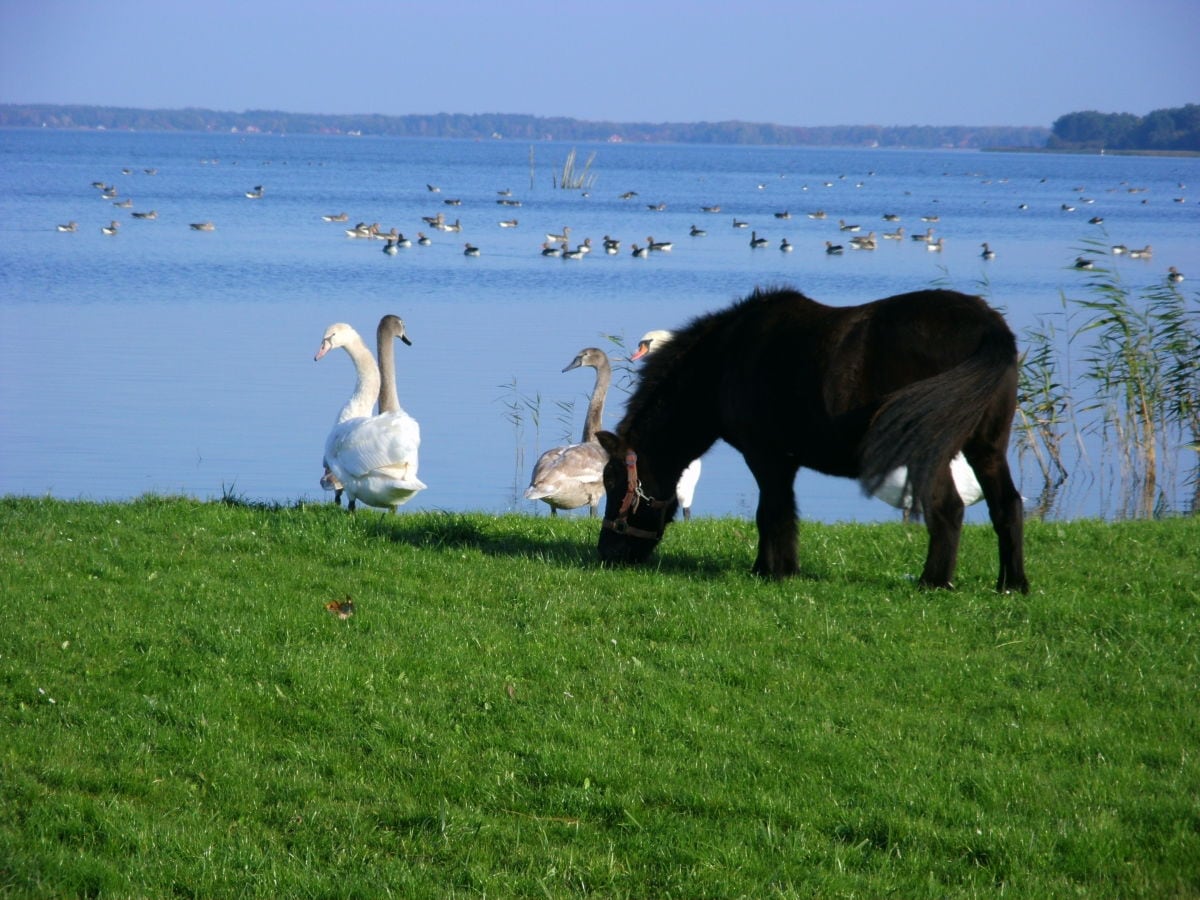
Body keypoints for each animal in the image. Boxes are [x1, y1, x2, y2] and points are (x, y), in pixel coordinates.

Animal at [600, 282, 1032, 592]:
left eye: (614, 482)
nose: (605, 554)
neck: (723, 360)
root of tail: (990, 328)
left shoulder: (766, 457)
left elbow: (770, 514)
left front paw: (770, 571)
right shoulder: (784, 462)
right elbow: (783, 513)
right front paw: (781, 568)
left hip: (932, 450)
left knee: (948, 509)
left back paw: (934, 582)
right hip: (987, 447)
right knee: (1007, 506)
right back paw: (1012, 584)